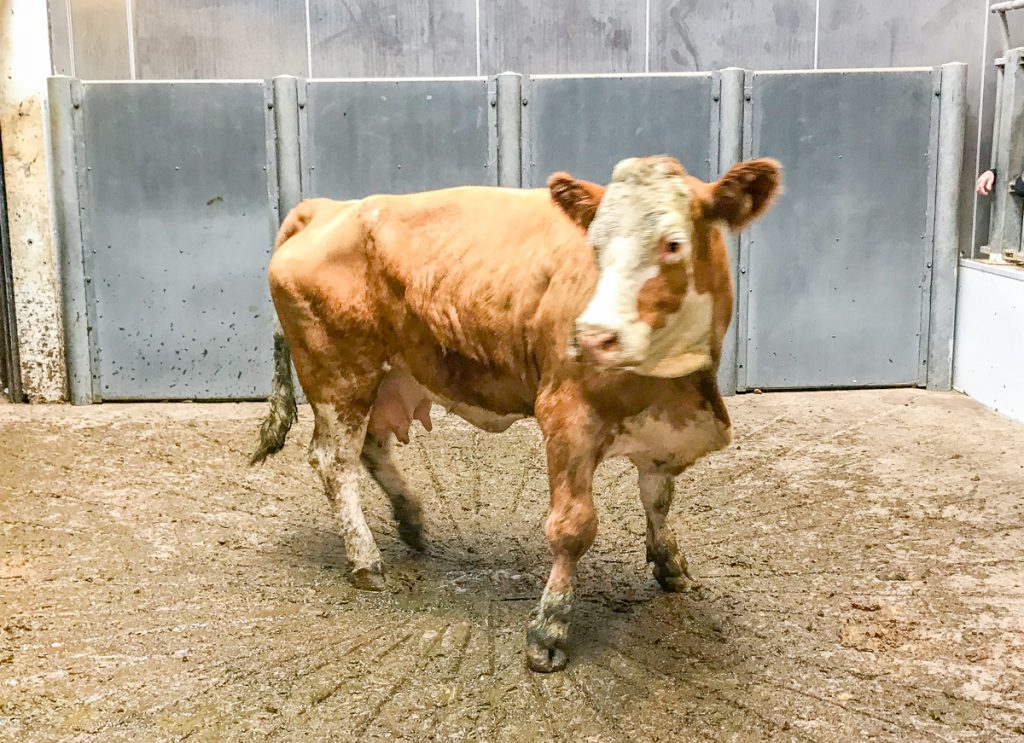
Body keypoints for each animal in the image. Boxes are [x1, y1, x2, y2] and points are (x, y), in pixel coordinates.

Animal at [251, 155, 782, 672]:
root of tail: (328, 207)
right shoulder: (567, 418)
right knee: (334, 462)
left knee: (370, 448)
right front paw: (549, 629)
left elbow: (658, 498)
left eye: (672, 244)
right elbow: (572, 527)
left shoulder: (665, 428)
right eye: (594, 245)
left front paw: (670, 565)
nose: (592, 336)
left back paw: (412, 520)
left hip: (389, 376)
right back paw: (366, 561)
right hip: (339, 374)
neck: (672, 384)